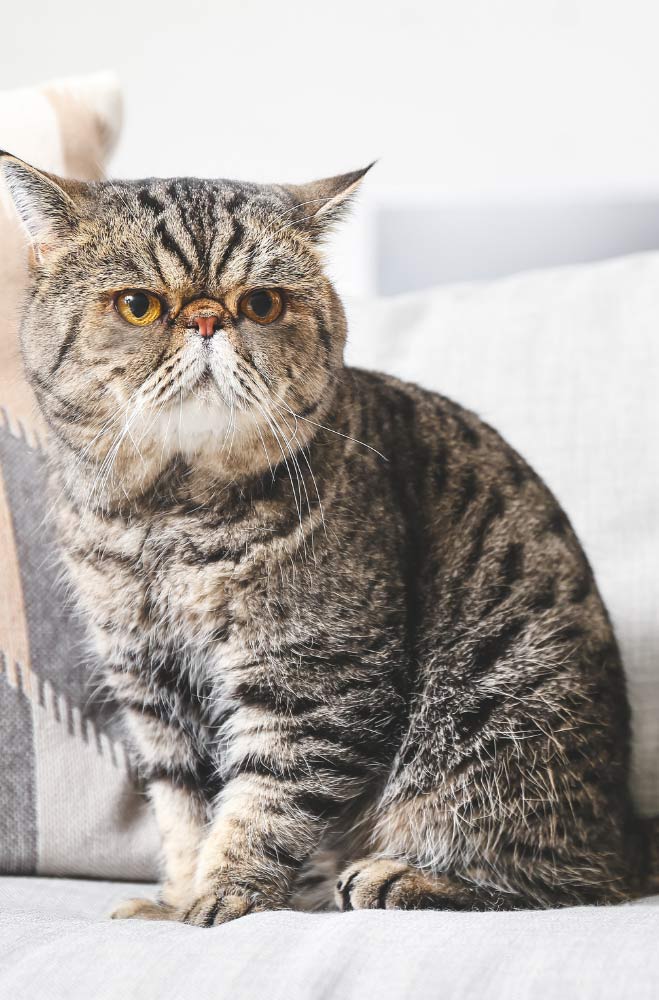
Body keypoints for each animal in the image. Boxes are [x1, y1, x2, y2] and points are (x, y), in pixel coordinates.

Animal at [2, 148, 656, 920]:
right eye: (139, 305)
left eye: (261, 303)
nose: (205, 319)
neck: (169, 517)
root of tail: (624, 823)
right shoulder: (151, 684)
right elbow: (184, 807)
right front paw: (177, 895)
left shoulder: (314, 682)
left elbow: (261, 806)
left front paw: (223, 895)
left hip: (493, 728)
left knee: (559, 878)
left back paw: (395, 876)